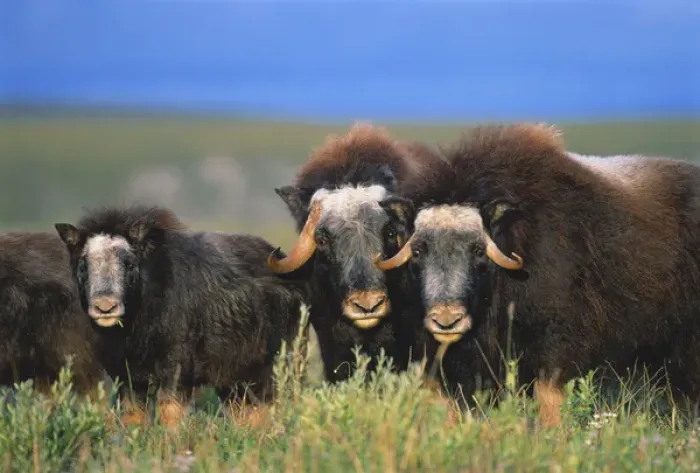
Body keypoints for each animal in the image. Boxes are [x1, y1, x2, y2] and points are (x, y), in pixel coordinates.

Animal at [54, 205, 308, 428]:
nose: (105, 307)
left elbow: (170, 413)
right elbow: (132, 417)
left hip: (284, 363)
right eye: (83, 266)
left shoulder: (176, 370)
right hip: (236, 380)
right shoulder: (128, 378)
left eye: (129, 264)